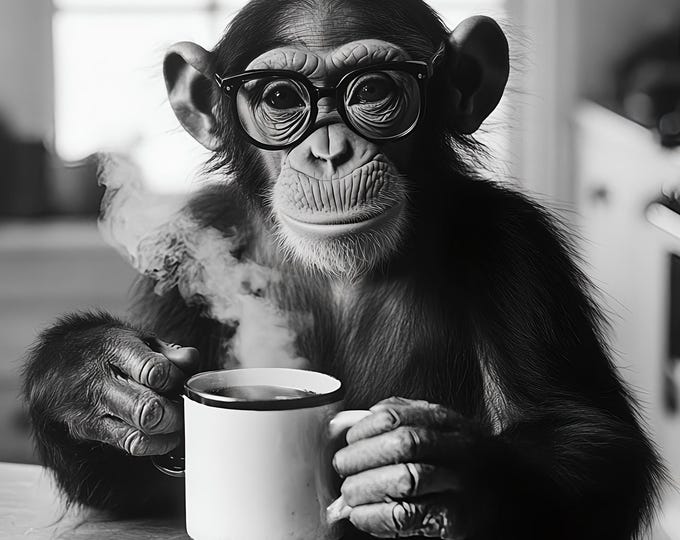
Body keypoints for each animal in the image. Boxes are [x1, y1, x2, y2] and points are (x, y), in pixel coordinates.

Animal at [23, 0, 663, 538]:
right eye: (281, 99)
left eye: (373, 89)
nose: (330, 152)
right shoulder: (191, 244)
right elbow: (136, 485)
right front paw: (93, 376)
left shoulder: (516, 246)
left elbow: (588, 439)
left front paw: (428, 461)